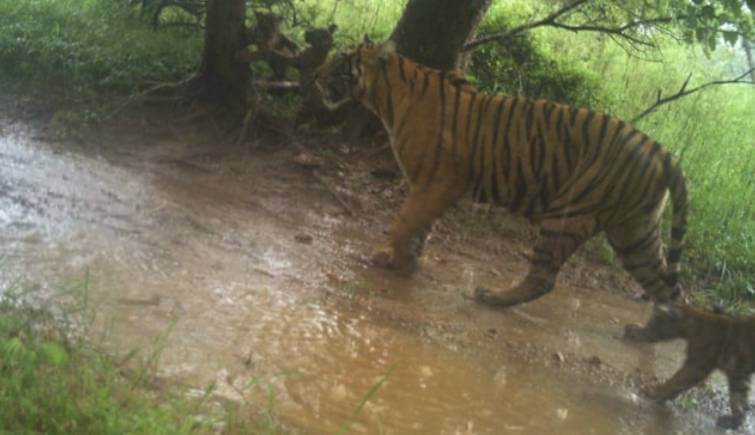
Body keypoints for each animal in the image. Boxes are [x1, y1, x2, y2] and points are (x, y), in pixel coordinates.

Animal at [314, 40, 692, 320]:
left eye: (339, 61)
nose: (315, 75)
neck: (387, 97)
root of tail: (661, 151)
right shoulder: (428, 184)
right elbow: (418, 226)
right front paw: (405, 261)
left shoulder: (439, 181)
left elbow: (404, 223)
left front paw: (400, 263)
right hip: (634, 232)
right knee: (669, 289)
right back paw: (655, 335)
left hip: (570, 214)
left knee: (544, 277)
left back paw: (493, 297)